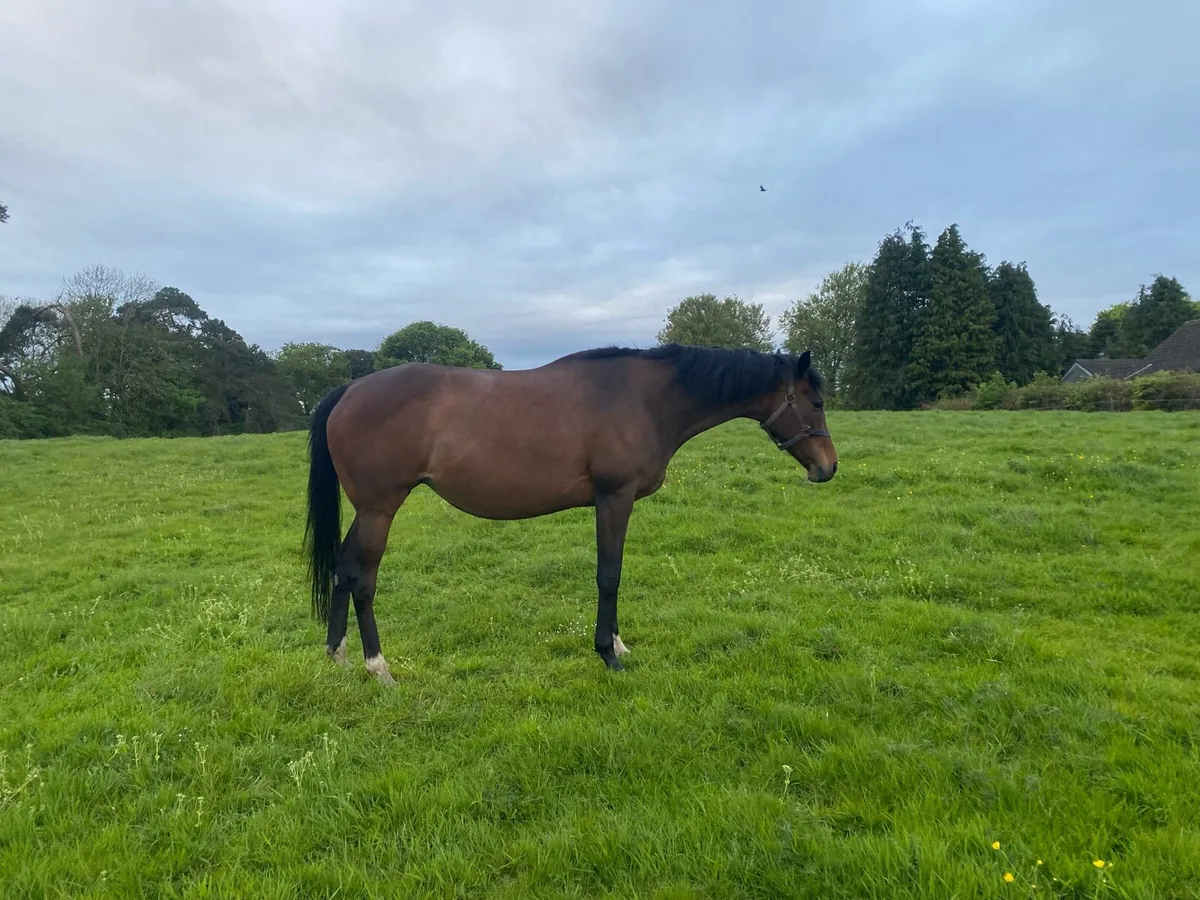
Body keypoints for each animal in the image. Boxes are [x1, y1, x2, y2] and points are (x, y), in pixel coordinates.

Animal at [303, 342, 837, 685]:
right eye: (815, 401)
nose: (828, 468)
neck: (643, 399)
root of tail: (348, 391)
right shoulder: (614, 497)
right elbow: (609, 575)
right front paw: (609, 654)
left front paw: (618, 645)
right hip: (380, 508)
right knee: (362, 578)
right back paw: (378, 668)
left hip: (368, 511)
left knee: (343, 569)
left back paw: (338, 656)